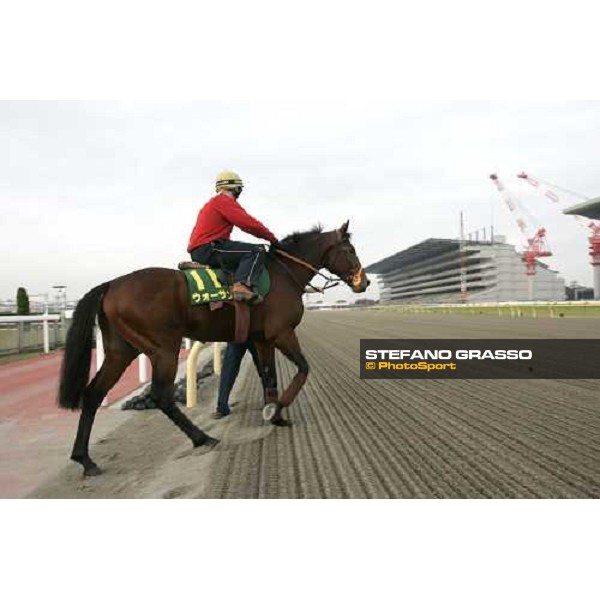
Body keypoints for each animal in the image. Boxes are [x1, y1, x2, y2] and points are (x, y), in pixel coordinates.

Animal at [61, 218, 370, 476]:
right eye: (350, 250)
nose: (364, 282)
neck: (283, 276)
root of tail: (112, 284)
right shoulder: (282, 333)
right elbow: (303, 369)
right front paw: (276, 409)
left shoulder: (262, 339)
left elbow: (269, 375)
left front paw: (276, 415)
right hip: (163, 349)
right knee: (161, 396)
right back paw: (203, 438)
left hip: (121, 351)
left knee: (93, 394)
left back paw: (85, 460)